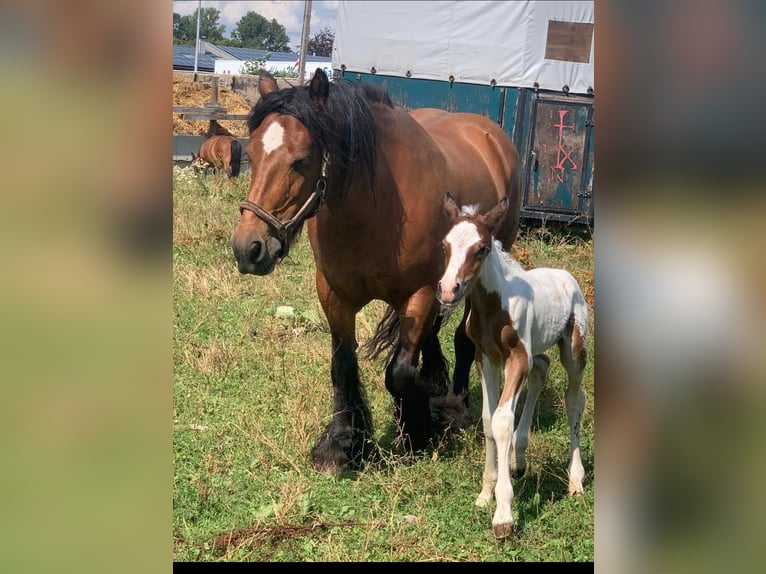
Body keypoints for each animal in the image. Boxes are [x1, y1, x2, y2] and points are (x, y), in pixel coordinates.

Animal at [232, 68, 520, 476]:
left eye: (301, 160)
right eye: (252, 153)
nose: (248, 249)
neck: (375, 206)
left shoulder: (419, 294)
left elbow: (398, 372)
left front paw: (417, 432)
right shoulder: (333, 294)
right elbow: (343, 367)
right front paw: (341, 445)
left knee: (463, 340)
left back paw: (454, 405)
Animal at [438, 195, 588, 540]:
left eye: (481, 248)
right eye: (444, 245)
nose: (448, 290)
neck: (494, 306)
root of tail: (567, 277)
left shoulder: (517, 357)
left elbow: (502, 421)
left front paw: (503, 515)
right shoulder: (487, 358)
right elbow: (487, 419)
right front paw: (485, 494)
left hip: (573, 348)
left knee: (575, 399)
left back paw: (576, 479)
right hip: (534, 351)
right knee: (542, 367)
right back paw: (518, 460)